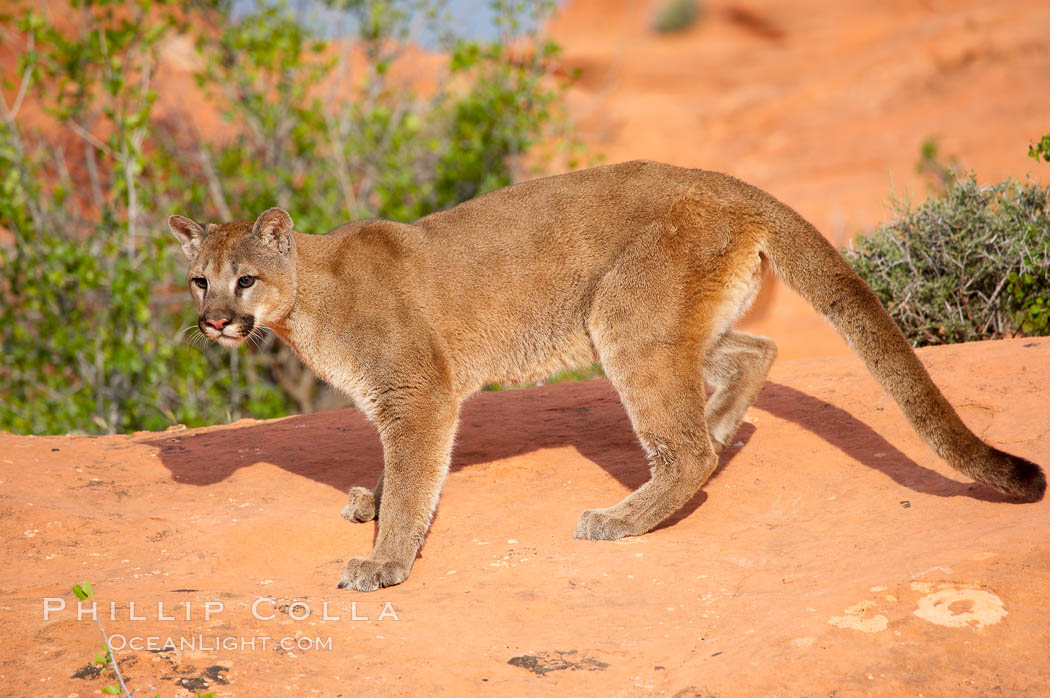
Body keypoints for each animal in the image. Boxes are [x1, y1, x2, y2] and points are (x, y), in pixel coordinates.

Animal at [168, 160, 1045, 591]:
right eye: (198, 279)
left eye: (244, 280)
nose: (214, 320)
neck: (308, 298)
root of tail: (727, 181)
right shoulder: (408, 404)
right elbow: (406, 475)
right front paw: (373, 507)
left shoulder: (419, 395)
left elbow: (417, 480)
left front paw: (385, 564)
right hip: (656, 322)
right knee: (752, 354)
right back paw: (712, 432)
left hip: (622, 316)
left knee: (688, 446)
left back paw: (623, 516)